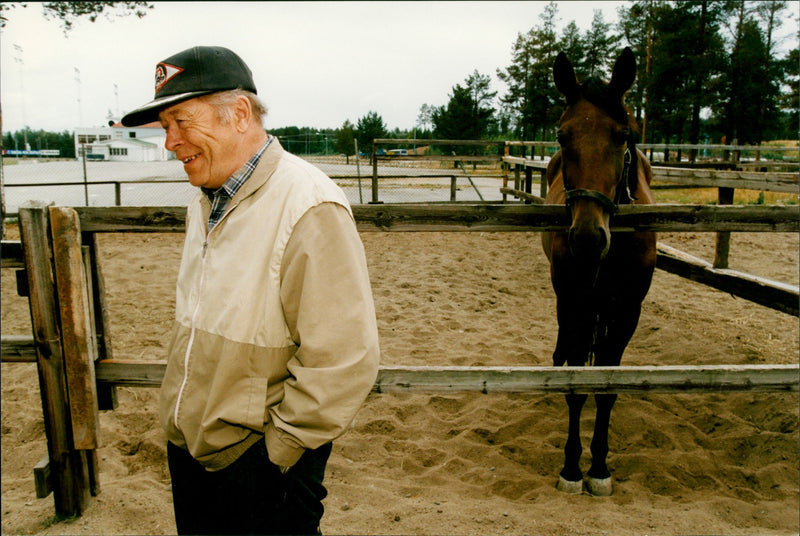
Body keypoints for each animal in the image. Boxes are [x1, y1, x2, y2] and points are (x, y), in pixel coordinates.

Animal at [540, 48, 660, 496]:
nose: (589, 238)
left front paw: (600, 467)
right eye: (562, 136)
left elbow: (608, 387)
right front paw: (572, 468)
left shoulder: (628, 310)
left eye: (622, 135)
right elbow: (577, 385)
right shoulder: (574, 301)